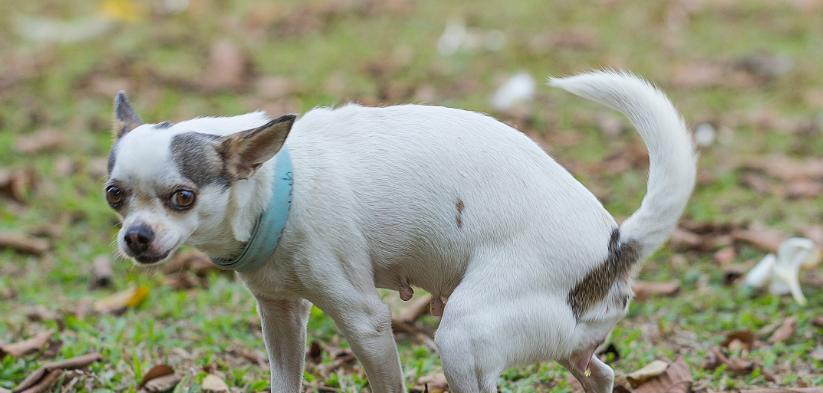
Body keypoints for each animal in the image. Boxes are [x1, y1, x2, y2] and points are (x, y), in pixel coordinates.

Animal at [103, 71, 696, 392]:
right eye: (114, 195)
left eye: (183, 197)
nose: (136, 237)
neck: (277, 184)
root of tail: (615, 246)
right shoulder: (281, 316)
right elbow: (284, 378)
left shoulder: (364, 320)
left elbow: (386, 379)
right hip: (563, 345)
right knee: (599, 373)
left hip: (462, 334)